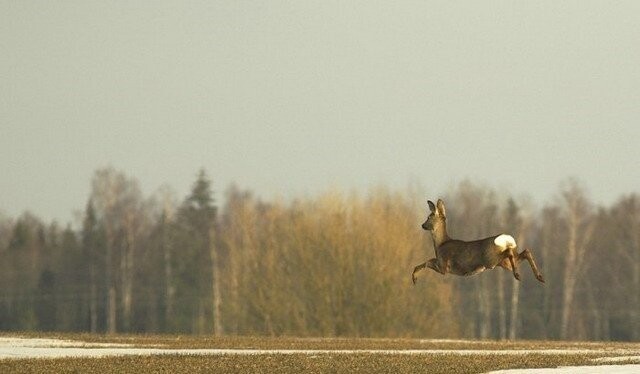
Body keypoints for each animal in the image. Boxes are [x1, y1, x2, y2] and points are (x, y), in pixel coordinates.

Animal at [412, 200, 544, 284]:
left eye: (429, 217)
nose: (422, 225)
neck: (440, 244)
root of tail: (504, 238)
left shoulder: (443, 266)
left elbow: (427, 262)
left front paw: (414, 278)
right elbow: (426, 262)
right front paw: (414, 277)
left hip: (490, 260)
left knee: (510, 252)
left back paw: (518, 275)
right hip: (504, 263)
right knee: (525, 252)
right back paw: (539, 277)